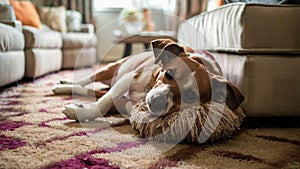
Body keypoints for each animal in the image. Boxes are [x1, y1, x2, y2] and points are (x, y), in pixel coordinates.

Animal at [52, 39, 244, 121]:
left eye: (190, 94)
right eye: (169, 74)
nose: (157, 101)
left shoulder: (125, 103)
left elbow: (106, 103)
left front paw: (81, 109)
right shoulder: (128, 78)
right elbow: (104, 102)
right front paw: (81, 112)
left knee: (89, 90)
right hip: (112, 68)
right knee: (87, 79)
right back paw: (64, 84)